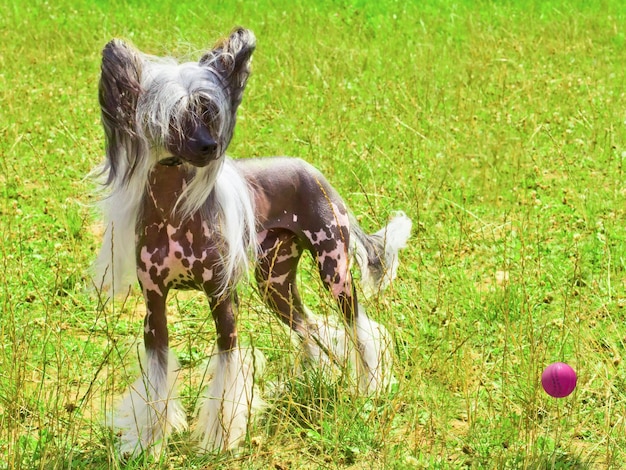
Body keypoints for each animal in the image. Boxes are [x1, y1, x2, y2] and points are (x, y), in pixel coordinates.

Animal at [92, 27, 412, 458]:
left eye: (209, 111)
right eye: (174, 116)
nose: (210, 146)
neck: (176, 211)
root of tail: (313, 171)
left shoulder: (222, 300)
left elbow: (229, 375)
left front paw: (220, 439)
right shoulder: (154, 310)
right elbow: (157, 380)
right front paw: (149, 442)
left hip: (335, 270)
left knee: (360, 328)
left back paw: (370, 387)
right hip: (274, 284)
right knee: (309, 326)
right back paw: (316, 378)